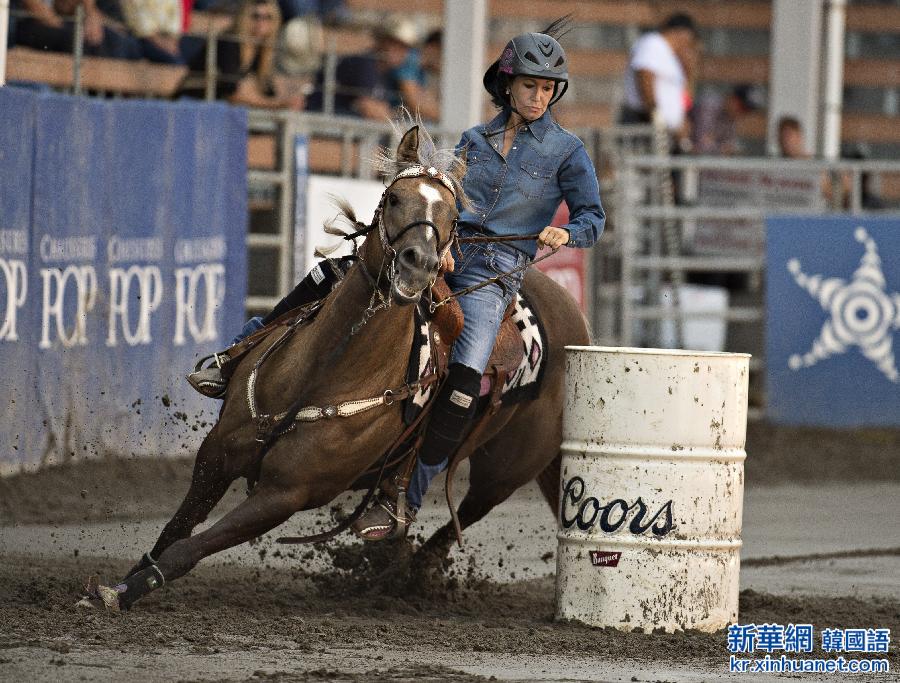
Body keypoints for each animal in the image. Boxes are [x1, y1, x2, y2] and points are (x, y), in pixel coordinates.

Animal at [89, 121, 592, 608]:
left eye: (451, 217)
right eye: (394, 198)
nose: (420, 266)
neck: (321, 373)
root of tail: (575, 317)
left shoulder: (285, 494)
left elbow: (188, 549)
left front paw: (127, 592)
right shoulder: (217, 453)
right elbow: (174, 529)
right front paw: (118, 583)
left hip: (507, 471)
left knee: (461, 517)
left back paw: (399, 569)